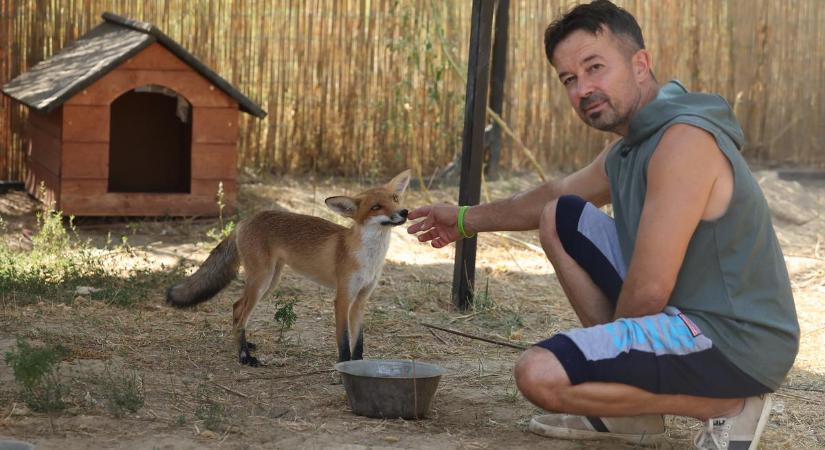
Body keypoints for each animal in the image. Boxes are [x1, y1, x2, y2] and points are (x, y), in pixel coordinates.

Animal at [166, 170, 410, 366]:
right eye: (376, 207)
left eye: (395, 199)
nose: (405, 212)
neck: (370, 258)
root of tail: (245, 220)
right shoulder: (342, 298)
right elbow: (343, 341)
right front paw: (343, 368)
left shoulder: (361, 300)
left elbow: (358, 343)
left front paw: (357, 366)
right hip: (261, 281)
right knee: (242, 312)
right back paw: (244, 356)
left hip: (270, 282)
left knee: (237, 307)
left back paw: (243, 344)